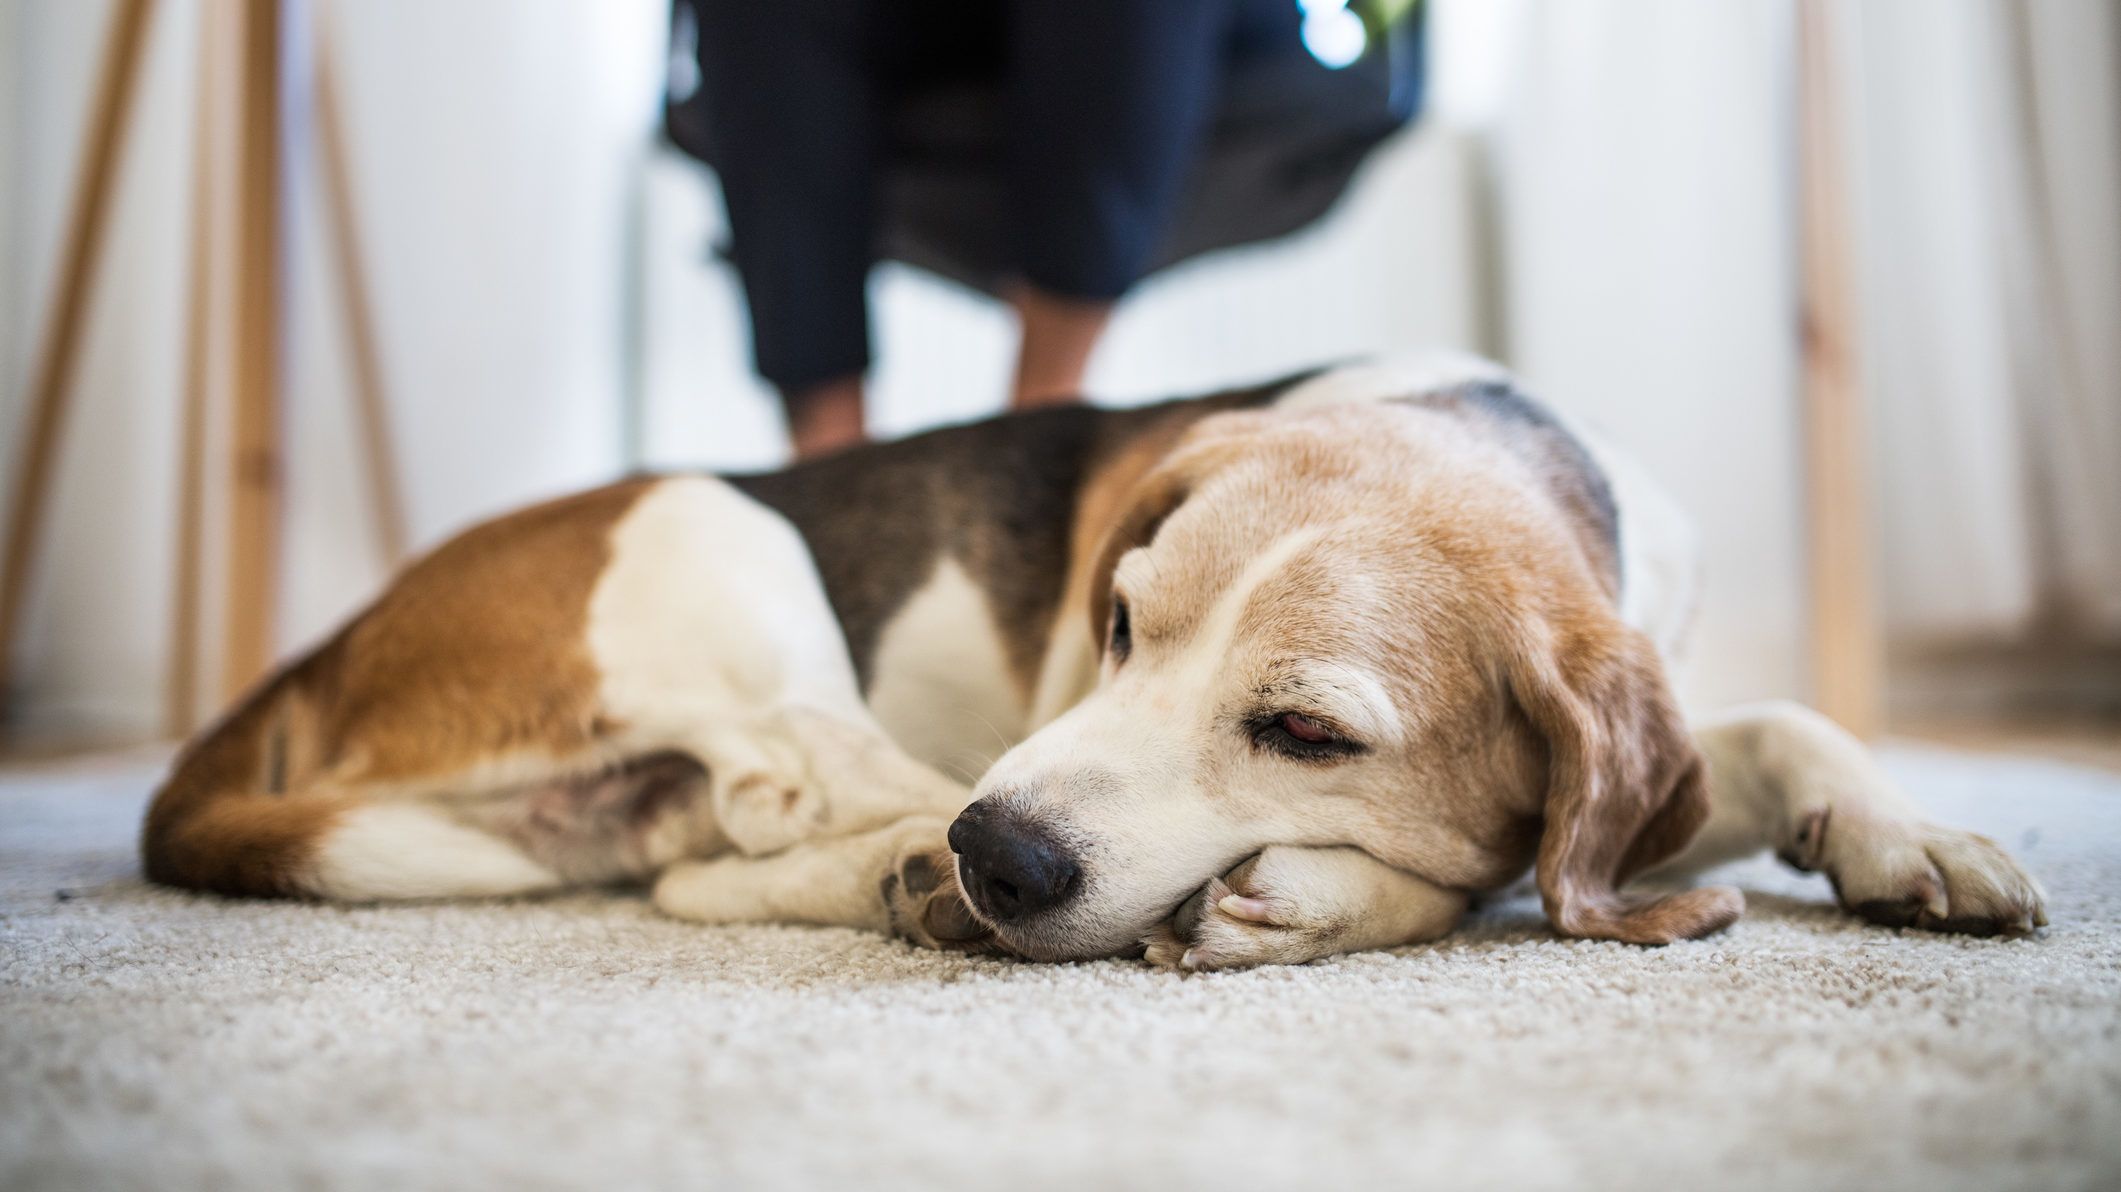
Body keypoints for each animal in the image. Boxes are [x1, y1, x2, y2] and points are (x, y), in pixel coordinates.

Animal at [141, 352, 2044, 967]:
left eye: (1306, 730)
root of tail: (337, 639)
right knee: (790, 803)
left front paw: (1918, 837)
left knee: (710, 862)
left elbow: (1782, 725)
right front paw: (1325, 894)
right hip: (721, 535)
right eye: (1119, 621)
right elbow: (1486, 873)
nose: (1003, 860)